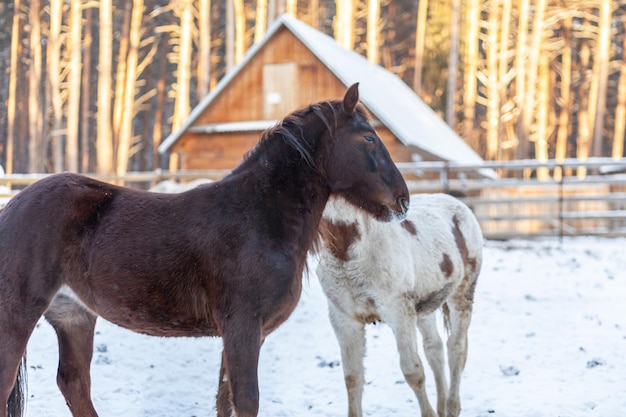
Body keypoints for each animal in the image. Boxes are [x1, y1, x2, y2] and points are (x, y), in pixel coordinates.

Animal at [1, 83, 410, 416]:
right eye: (368, 138)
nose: (402, 200)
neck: (258, 215)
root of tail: (12, 207)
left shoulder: (246, 333)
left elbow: (224, 400)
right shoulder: (242, 326)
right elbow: (245, 400)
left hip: (74, 316)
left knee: (75, 385)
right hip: (19, 314)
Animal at [316, 193, 482, 416]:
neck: (349, 252)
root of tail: (457, 203)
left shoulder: (399, 312)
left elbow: (413, 372)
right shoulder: (344, 320)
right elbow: (352, 377)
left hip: (462, 294)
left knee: (456, 349)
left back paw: (452, 407)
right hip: (424, 308)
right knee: (434, 349)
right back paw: (442, 406)